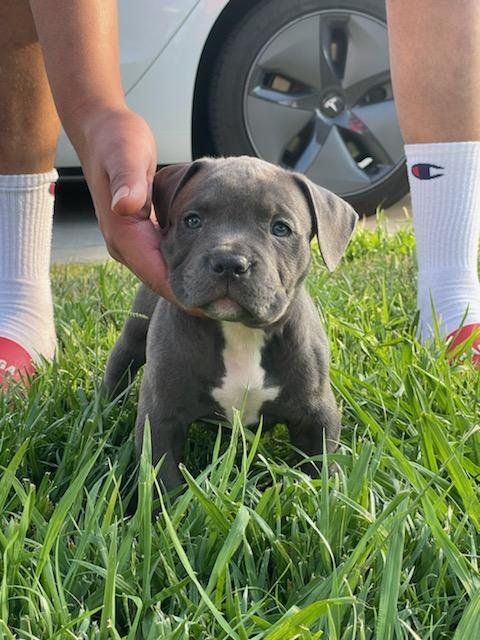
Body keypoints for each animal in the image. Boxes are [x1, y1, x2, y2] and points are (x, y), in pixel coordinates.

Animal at [104, 155, 356, 490]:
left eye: (281, 228)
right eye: (192, 221)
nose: (230, 262)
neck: (240, 331)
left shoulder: (316, 414)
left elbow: (320, 468)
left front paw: (323, 493)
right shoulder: (160, 416)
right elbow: (164, 477)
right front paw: (166, 504)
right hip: (137, 327)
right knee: (123, 357)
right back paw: (103, 408)